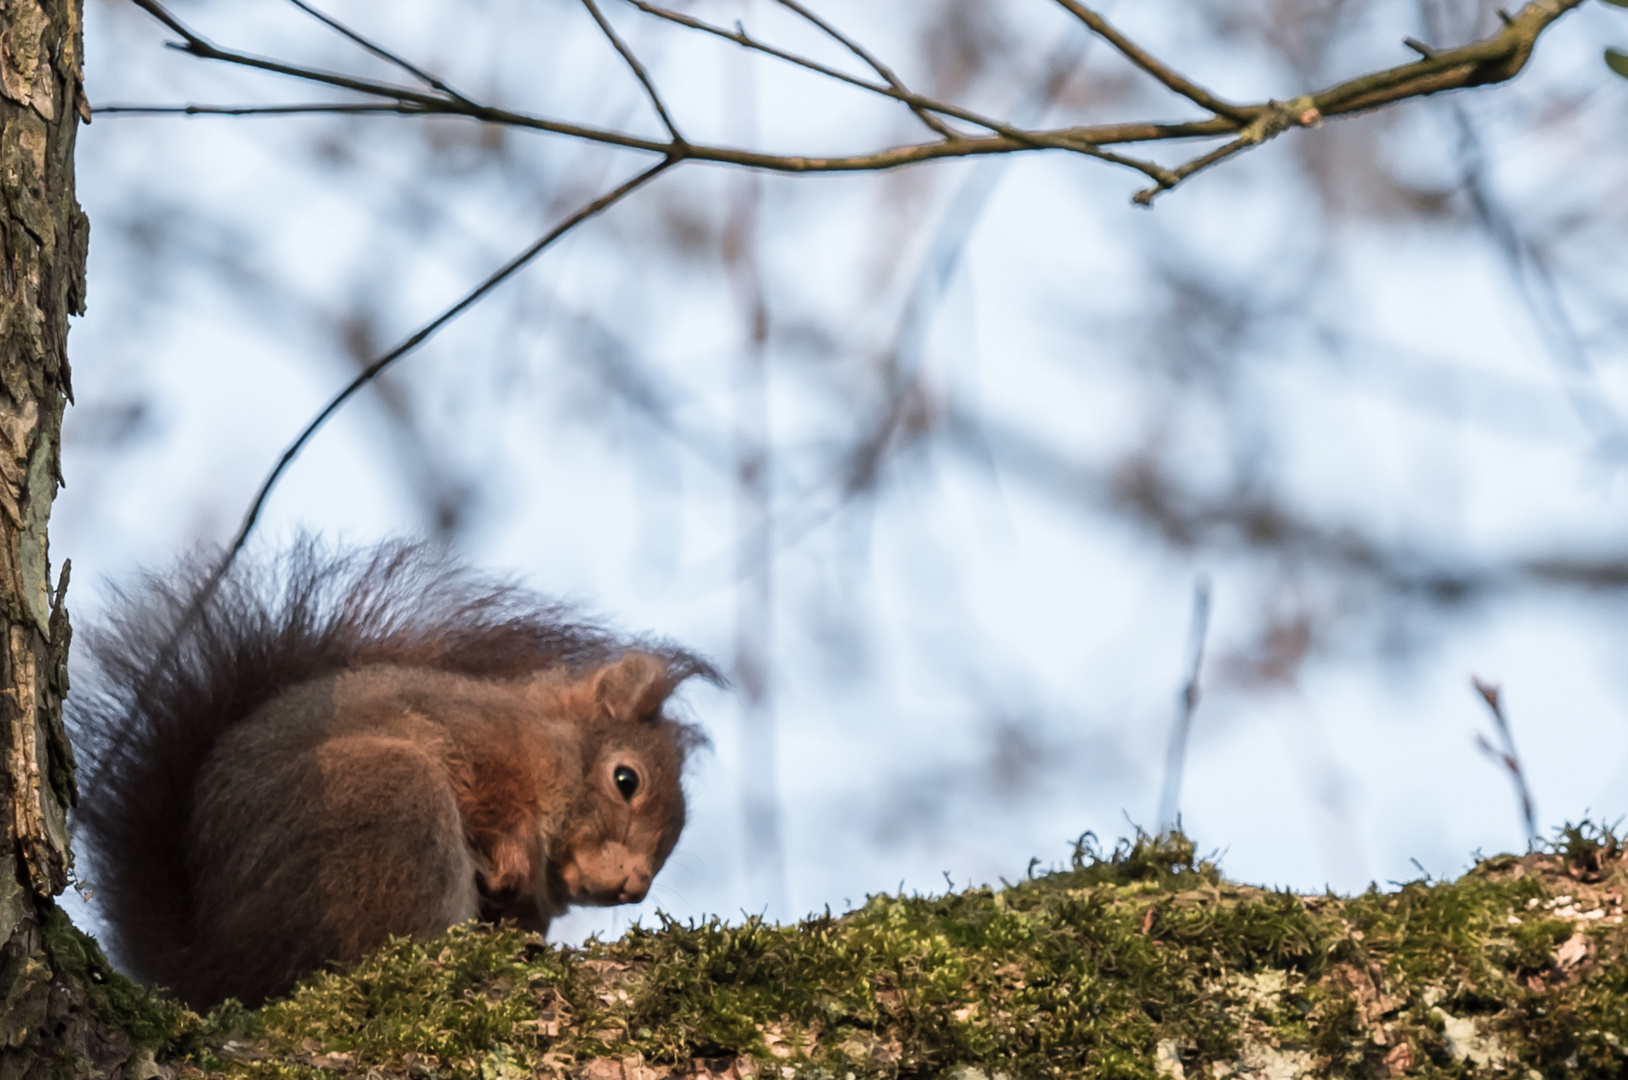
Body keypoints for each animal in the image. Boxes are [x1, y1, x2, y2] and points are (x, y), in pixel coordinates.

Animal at [68, 540, 719, 1016]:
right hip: (391, 802)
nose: (634, 887)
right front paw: (508, 856)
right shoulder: (463, 736)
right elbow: (479, 796)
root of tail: (216, 966)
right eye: (626, 780)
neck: (542, 746)